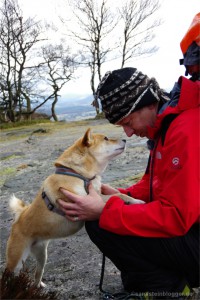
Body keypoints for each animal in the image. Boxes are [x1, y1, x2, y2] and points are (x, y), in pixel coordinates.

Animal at [5, 128, 144, 286]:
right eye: (106, 138)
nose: (125, 139)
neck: (76, 173)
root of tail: (18, 220)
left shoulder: (96, 194)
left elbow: (115, 194)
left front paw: (132, 200)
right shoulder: (84, 198)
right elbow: (115, 196)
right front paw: (135, 201)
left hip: (42, 256)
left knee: (37, 274)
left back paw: (38, 286)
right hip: (16, 262)